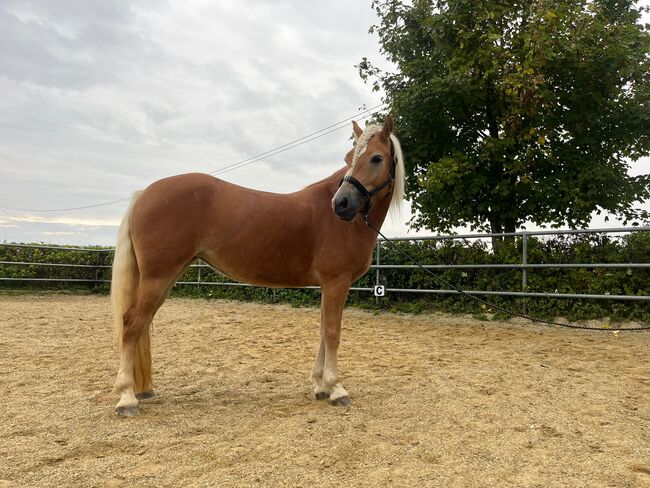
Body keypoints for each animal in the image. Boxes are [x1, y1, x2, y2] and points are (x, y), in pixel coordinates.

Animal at [113, 115, 402, 416]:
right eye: (348, 158)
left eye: (377, 158)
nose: (341, 204)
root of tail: (143, 194)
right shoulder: (337, 282)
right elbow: (333, 333)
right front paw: (336, 388)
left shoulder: (328, 285)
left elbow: (324, 331)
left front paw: (320, 387)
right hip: (157, 278)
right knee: (132, 323)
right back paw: (127, 398)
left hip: (164, 279)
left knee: (142, 324)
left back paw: (142, 390)